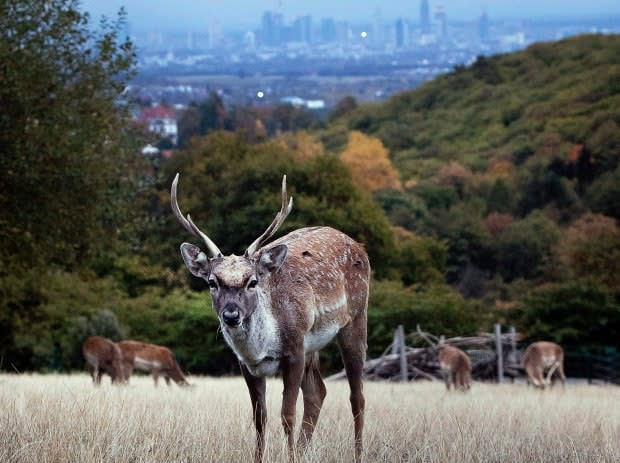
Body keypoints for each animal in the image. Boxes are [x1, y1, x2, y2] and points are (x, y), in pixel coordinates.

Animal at [172, 175, 370, 463]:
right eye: (212, 282)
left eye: (252, 281)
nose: (231, 315)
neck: (262, 347)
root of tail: (359, 247)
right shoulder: (247, 365)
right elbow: (259, 418)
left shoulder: (294, 349)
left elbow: (287, 415)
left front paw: (290, 457)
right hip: (313, 346)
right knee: (318, 392)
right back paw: (304, 451)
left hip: (355, 318)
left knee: (357, 396)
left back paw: (357, 454)